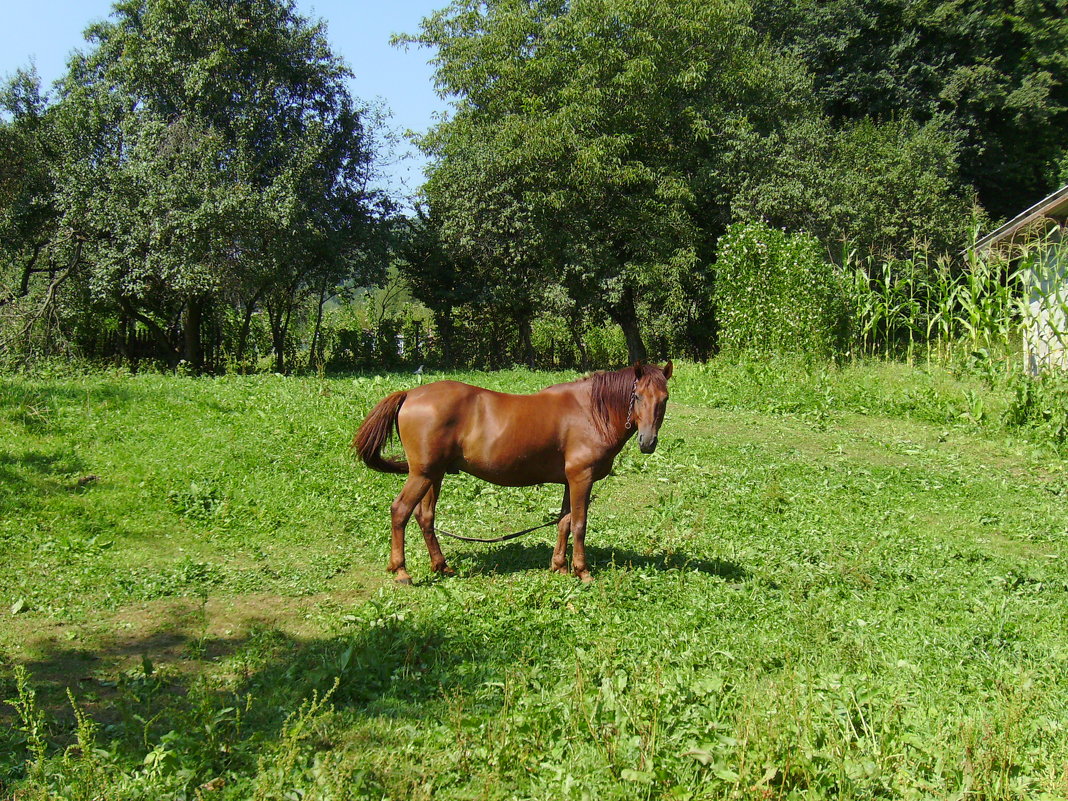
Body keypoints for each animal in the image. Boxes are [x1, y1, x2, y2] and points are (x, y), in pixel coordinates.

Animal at [356, 363, 674, 585]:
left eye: (664, 398)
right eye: (637, 396)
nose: (647, 442)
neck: (591, 411)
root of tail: (410, 394)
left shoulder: (569, 481)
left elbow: (564, 521)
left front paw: (559, 566)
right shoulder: (581, 478)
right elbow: (579, 524)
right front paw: (582, 572)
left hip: (434, 475)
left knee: (425, 517)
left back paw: (442, 566)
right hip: (422, 475)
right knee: (400, 511)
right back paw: (401, 571)